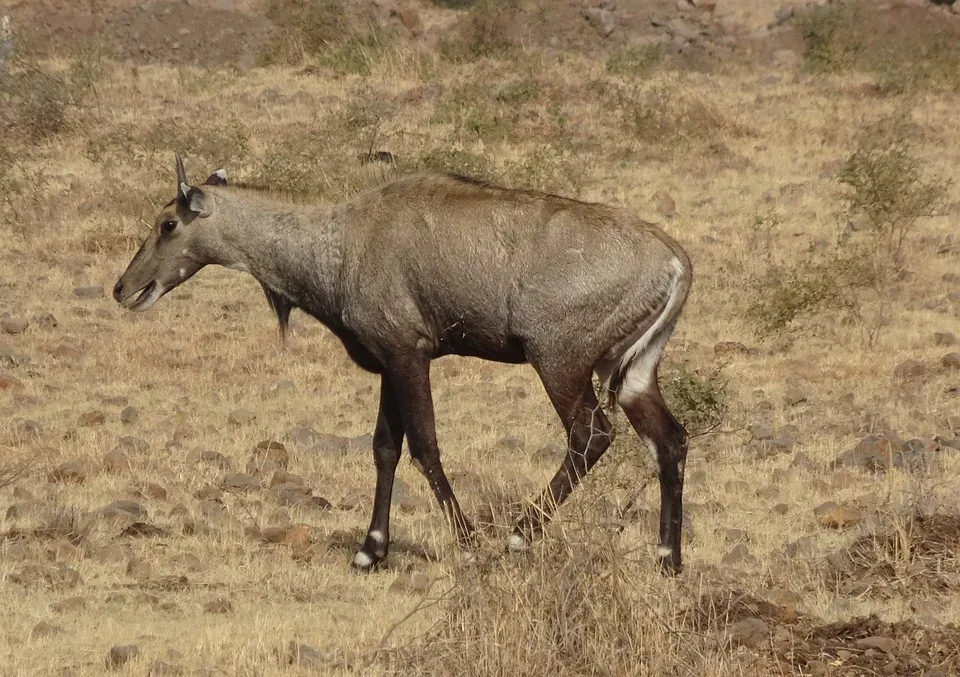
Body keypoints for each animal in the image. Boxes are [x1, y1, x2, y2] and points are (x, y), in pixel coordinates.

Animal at [114, 152, 688, 572]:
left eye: (168, 223)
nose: (123, 288)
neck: (340, 241)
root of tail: (676, 261)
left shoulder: (409, 353)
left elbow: (424, 446)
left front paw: (467, 543)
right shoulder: (390, 361)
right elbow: (385, 449)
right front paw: (370, 550)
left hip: (559, 361)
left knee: (591, 436)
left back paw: (518, 537)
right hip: (634, 373)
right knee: (670, 440)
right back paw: (668, 559)